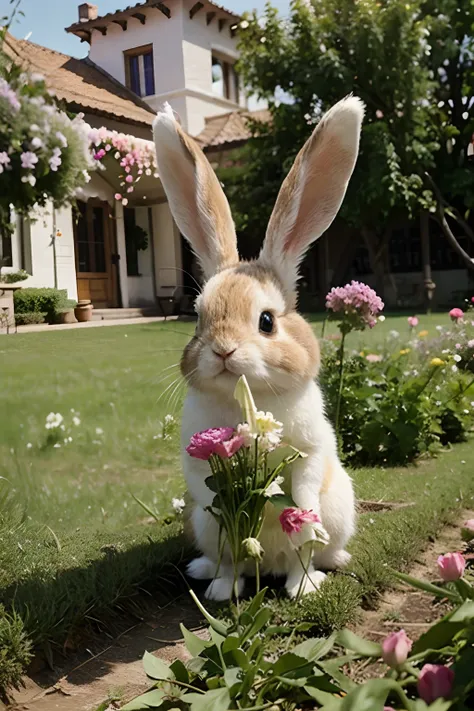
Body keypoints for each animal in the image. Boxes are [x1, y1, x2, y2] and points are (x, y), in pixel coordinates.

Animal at [154, 94, 364, 600]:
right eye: (199, 317)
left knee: (307, 554)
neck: (247, 397)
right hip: (211, 535)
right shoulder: (198, 466)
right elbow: (212, 495)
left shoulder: (310, 451)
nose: (223, 351)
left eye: (266, 321)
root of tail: (264, 567)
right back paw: (215, 584)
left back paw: (306, 584)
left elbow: (303, 491)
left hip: (337, 512)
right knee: (229, 558)